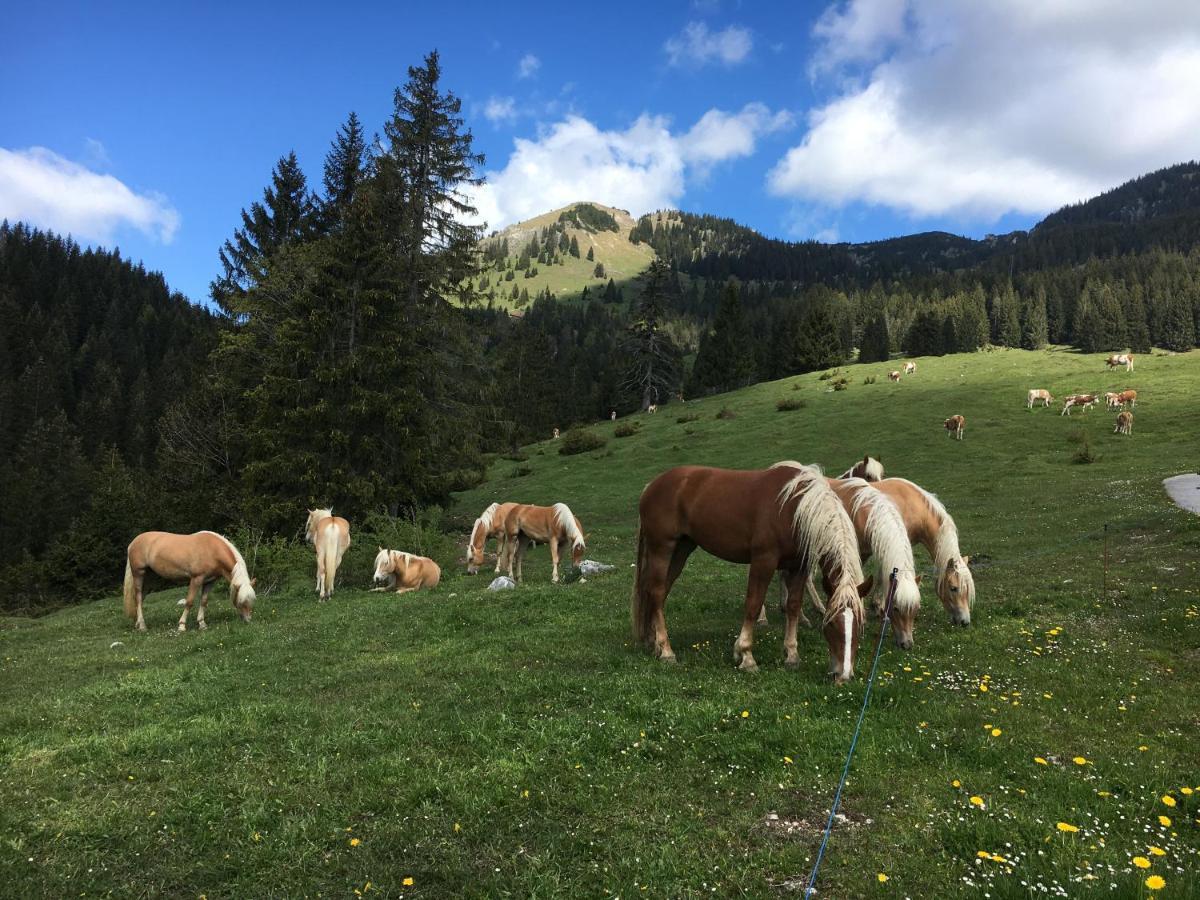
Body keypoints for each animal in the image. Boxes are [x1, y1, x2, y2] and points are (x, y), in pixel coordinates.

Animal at [123, 535, 254, 633]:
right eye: (241, 600)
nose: (248, 620)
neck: (211, 549)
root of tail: (133, 543)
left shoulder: (209, 581)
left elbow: (204, 601)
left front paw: (202, 624)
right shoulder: (196, 579)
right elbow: (189, 602)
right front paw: (182, 626)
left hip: (149, 577)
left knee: (140, 598)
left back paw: (137, 623)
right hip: (139, 573)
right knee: (138, 598)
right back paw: (142, 626)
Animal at [628, 465, 873, 681]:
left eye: (860, 626)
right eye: (830, 623)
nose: (843, 675)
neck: (793, 508)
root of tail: (651, 486)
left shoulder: (799, 567)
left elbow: (793, 607)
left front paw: (792, 655)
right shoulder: (764, 561)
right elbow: (753, 605)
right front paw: (746, 656)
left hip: (682, 548)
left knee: (657, 592)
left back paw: (653, 642)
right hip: (662, 547)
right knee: (656, 592)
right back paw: (666, 651)